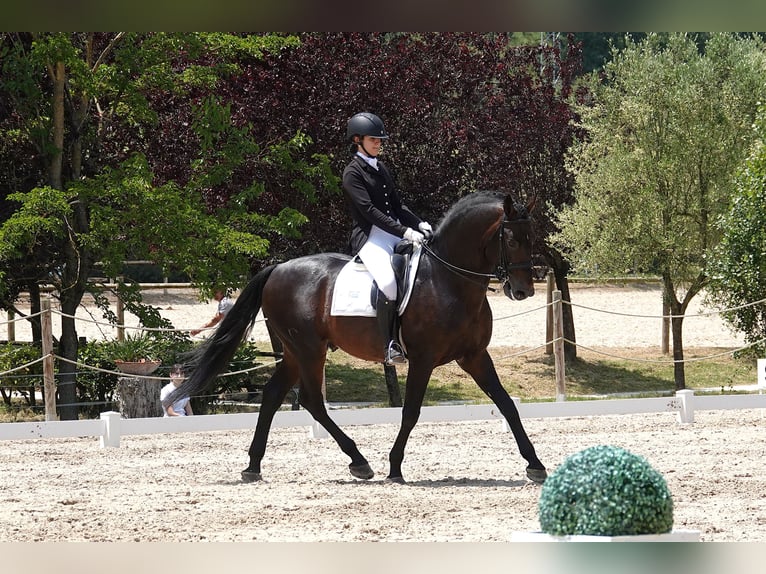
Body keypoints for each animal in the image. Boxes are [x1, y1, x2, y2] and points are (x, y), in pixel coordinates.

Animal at [165, 190, 547, 484]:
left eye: (533, 238)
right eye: (511, 239)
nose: (523, 291)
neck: (449, 280)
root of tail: (277, 269)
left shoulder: (475, 356)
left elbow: (507, 404)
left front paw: (535, 465)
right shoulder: (423, 359)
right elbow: (411, 412)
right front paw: (395, 467)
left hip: (294, 351)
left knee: (274, 396)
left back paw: (253, 466)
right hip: (308, 349)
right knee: (312, 401)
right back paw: (359, 462)